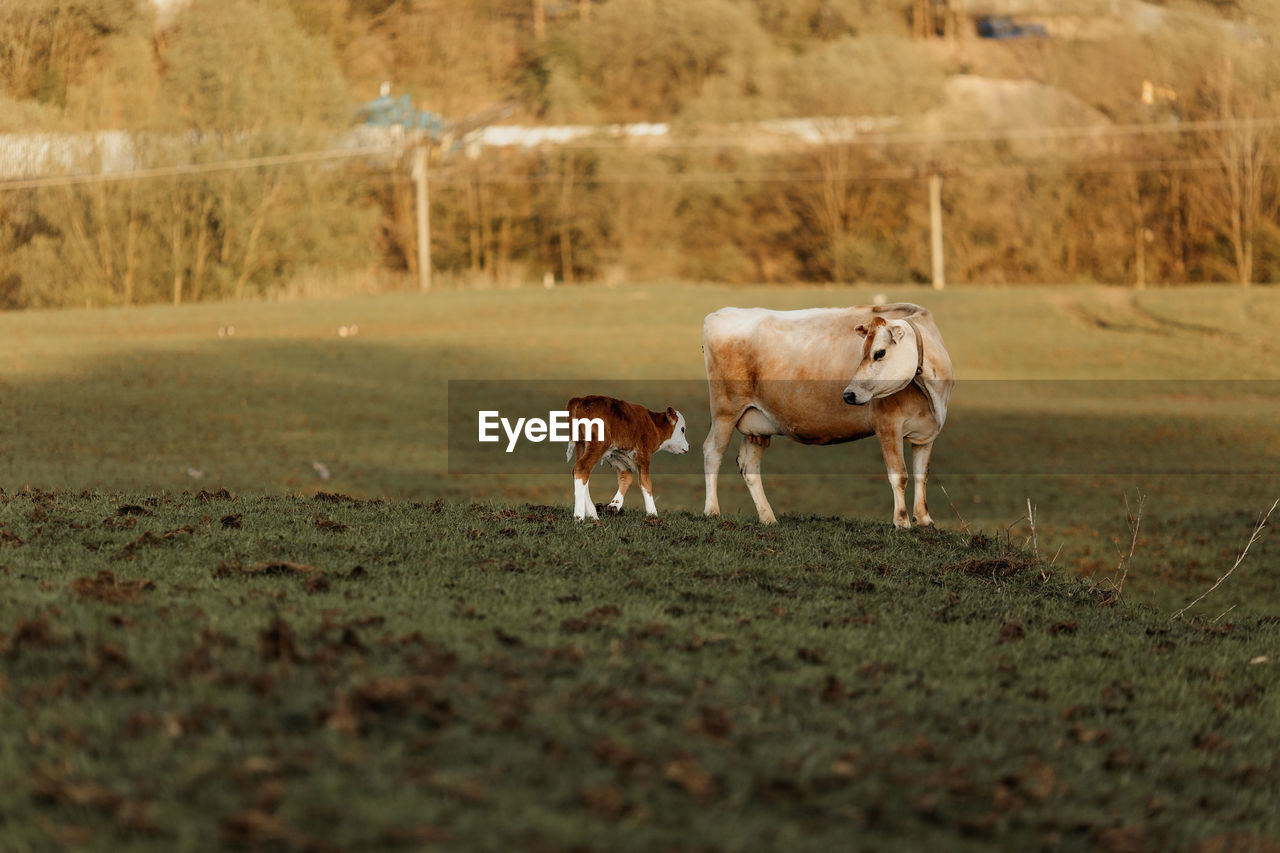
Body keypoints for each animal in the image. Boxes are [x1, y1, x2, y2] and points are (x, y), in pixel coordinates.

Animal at [701, 298, 962, 525]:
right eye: (861, 352)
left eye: (879, 353)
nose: (849, 394)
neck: (932, 395)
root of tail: (719, 314)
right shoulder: (887, 424)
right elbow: (900, 474)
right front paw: (902, 521)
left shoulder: (926, 432)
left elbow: (922, 474)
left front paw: (925, 520)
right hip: (725, 410)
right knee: (712, 451)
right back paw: (712, 510)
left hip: (757, 423)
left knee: (749, 465)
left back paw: (768, 518)